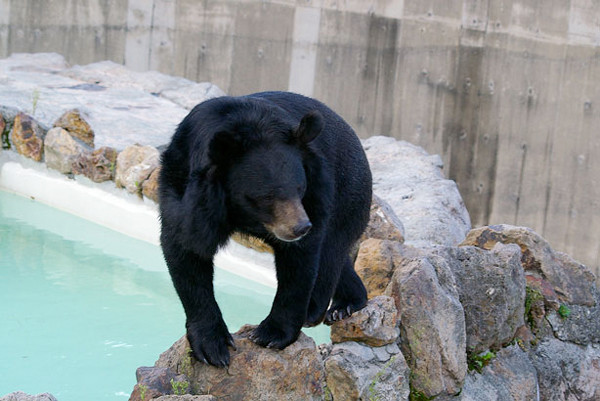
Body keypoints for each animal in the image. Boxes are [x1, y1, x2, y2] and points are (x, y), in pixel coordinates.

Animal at [158, 90, 376, 366]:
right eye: (265, 197)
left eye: (300, 188)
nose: (300, 227)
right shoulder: (183, 185)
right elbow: (187, 249)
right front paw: (212, 347)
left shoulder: (316, 187)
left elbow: (299, 261)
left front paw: (271, 334)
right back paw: (346, 301)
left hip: (347, 191)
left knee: (331, 250)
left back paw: (323, 308)